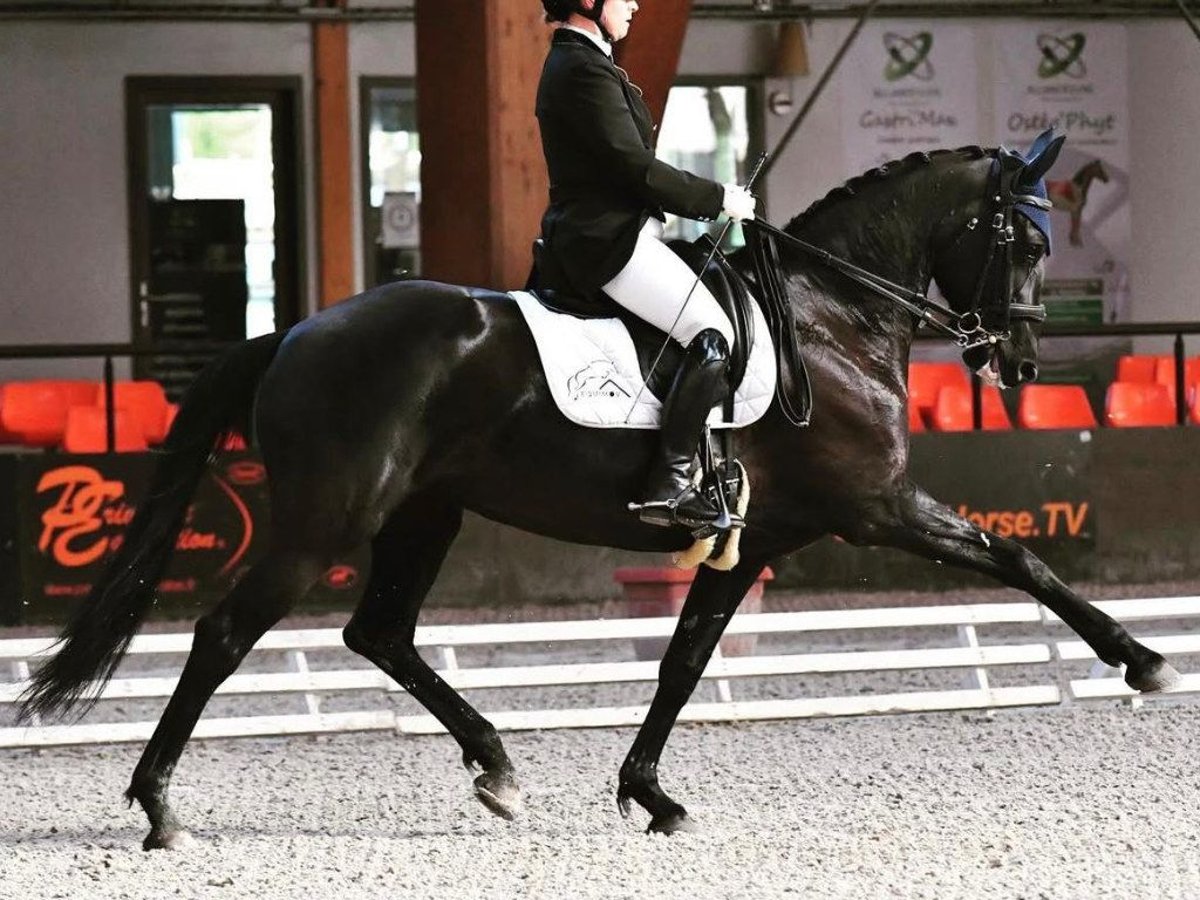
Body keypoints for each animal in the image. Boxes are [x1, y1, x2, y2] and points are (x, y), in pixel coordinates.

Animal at [20, 136, 1180, 849]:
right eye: (1021, 238)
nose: (1019, 363)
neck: (833, 312)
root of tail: (297, 331)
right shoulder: (877, 506)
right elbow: (1019, 558)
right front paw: (1145, 662)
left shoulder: (759, 538)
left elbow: (684, 660)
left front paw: (650, 793)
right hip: (327, 518)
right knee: (226, 633)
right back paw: (159, 808)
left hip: (424, 512)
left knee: (378, 632)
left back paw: (495, 766)